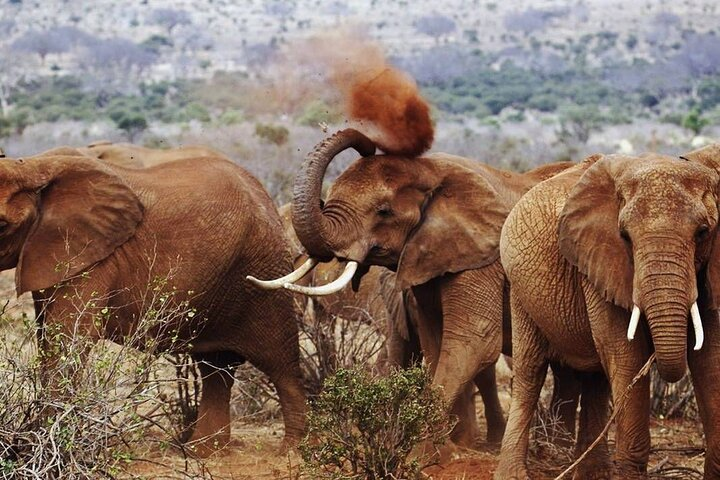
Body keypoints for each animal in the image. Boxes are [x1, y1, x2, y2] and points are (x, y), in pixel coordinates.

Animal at [0, 148, 306, 456]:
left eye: (1, 226)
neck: (33, 166)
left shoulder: (94, 259)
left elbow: (67, 340)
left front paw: (41, 449)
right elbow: (48, 339)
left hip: (264, 272)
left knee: (281, 362)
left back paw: (293, 452)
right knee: (216, 368)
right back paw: (201, 453)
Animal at [250, 128, 576, 446]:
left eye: (383, 211)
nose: (369, 143)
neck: (432, 170)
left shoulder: (483, 257)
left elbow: (474, 341)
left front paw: (423, 449)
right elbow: (435, 341)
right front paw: (450, 447)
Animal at [498, 148, 720, 478]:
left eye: (703, 232)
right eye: (624, 236)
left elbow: (710, 359)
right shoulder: (599, 263)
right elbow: (627, 355)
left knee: (596, 378)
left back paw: (593, 472)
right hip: (519, 289)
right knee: (530, 371)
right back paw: (513, 473)